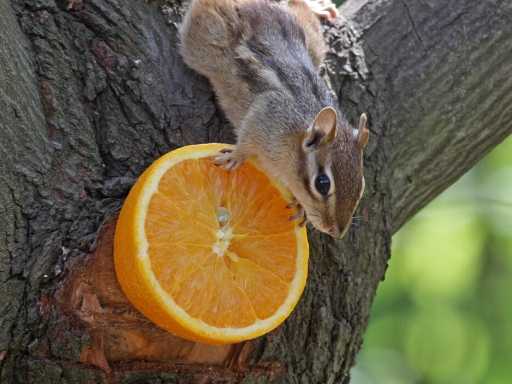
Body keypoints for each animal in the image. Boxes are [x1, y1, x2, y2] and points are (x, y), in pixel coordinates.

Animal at [179, 0, 368, 237]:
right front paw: (236, 156)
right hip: (200, 42)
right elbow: (246, 139)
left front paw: (300, 207)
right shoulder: (266, 114)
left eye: (361, 185)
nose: (337, 232)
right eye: (322, 183)